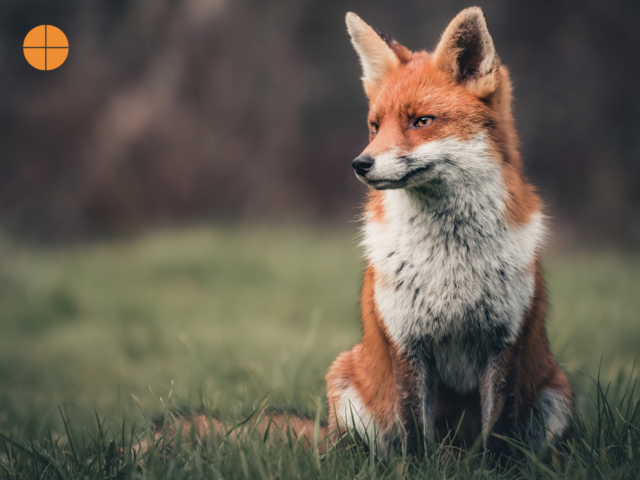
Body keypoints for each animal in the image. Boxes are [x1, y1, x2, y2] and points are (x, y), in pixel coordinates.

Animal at [151, 6, 574, 459]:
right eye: (375, 126)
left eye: (421, 121)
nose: (360, 164)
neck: (449, 260)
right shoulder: (406, 342)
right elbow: (414, 436)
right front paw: (420, 467)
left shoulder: (505, 342)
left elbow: (497, 438)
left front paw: (496, 467)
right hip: (347, 382)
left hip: (557, 393)